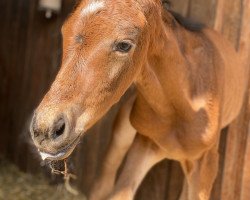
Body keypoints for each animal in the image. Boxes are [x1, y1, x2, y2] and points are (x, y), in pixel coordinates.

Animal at [29, 0, 248, 199]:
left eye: (124, 45)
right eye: (64, 30)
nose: (45, 129)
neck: (183, 104)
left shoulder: (206, 163)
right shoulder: (142, 145)